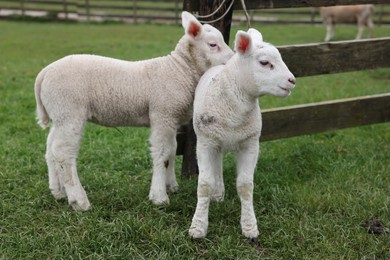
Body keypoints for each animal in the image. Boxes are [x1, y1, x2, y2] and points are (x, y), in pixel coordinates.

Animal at [35, 11, 233, 212]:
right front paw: (159, 196)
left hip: (59, 114)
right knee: (63, 152)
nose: (232, 61)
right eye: (213, 44)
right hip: (69, 111)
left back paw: (58, 191)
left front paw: (171, 185)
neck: (179, 70)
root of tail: (44, 73)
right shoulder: (162, 114)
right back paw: (79, 200)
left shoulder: (171, 118)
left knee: (51, 148)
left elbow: (172, 150)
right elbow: (162, 152)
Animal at [189, 27, 296, 240]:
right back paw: (217, 193)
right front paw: (198, 228)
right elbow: (204, 185)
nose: (292, 81)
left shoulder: (250, 143)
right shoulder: (205, 143)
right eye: (264, 62)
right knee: (217, 163)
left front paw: (249, 227)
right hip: (213, 138)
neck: (234, 113)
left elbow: (246, 187)